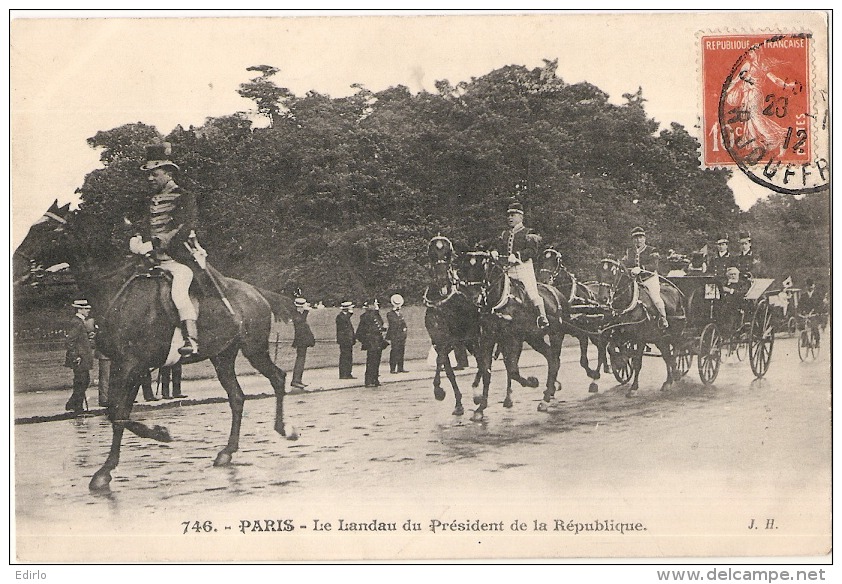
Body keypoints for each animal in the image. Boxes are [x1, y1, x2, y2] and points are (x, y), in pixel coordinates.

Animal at [13, 203, 298, 490]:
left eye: (48, 231)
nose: (16, 266)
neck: (115, 289)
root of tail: (256, 292)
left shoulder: (133, 365)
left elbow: (118, 413)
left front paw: (142, 444)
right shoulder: (126, 366)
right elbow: (116, 411)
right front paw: (117, 461)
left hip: (254, 349)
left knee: (277, 378)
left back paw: (284, 429)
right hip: (222, 357)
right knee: (237, 397)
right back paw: (227, 451)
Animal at [592, 256, 684, 396]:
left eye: (613, 273)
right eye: (598, 272)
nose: (602, 299)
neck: (630, 304)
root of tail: (675, 291)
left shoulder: (640, 338)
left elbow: (637, 362)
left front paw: (633, 387)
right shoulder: (618, 334)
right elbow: (611, 349)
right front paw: (620, 362)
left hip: (675, 333)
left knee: (675, 352)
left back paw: (676, 373)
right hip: (659, 338)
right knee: (666, 355)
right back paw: (668, 381)